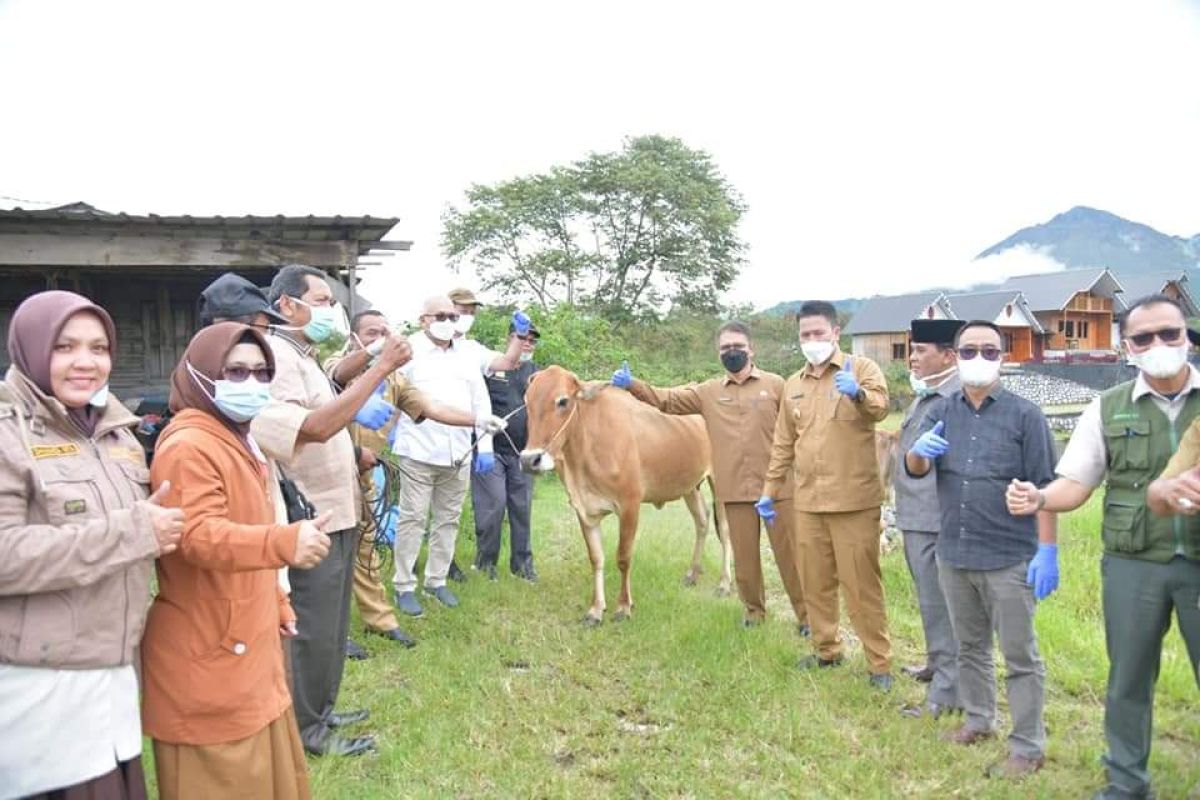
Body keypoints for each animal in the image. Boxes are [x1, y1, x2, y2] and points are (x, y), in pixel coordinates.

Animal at [518, 367, 729, 623]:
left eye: (563, 401)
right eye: (526, 401)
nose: (529, 460)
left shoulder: (630, 505)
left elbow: (623, 557)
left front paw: (623, 606)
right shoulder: (583, 509)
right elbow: (596, 558)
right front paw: (595, 609)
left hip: (721, 482)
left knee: (725, 531)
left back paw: (724, 584)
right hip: (689, 486)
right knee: (702, 521)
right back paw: (692, 574)